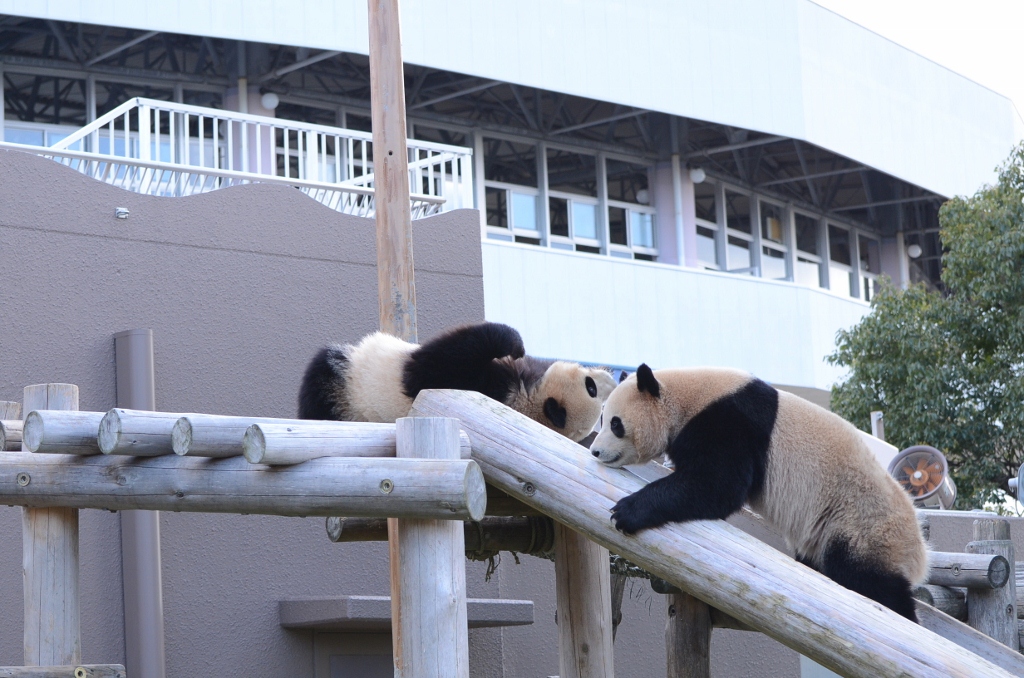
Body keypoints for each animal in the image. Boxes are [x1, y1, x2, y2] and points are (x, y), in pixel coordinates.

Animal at [299, 323, 614, 444]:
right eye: (592, 387)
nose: (612, 378)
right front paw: (517, 345)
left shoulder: (477, 385)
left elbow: (425, 371)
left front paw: (510, 342)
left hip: (350, 387)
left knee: (321, 374)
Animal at [585, 366, 929, 622]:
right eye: (601, 418)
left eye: (615, 423)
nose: (595, 451)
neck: (684, 397)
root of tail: (920, 552)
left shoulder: (729, 422)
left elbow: (716, 486)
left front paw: (626, 511)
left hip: (860, 524)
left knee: (869, 580)